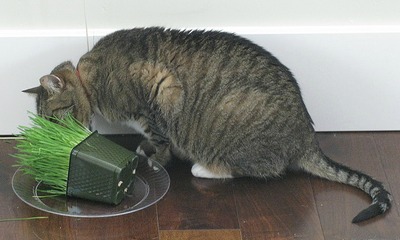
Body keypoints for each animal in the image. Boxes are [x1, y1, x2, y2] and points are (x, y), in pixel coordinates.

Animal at [22, 27, 390, 224]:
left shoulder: (161, 87)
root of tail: (307, 138)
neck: (90, 77)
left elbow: (160, 136)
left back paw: (205, 168)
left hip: (236, 123)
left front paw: (155, 157)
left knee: (263, 169)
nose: (58, 135)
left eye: (54, 119)